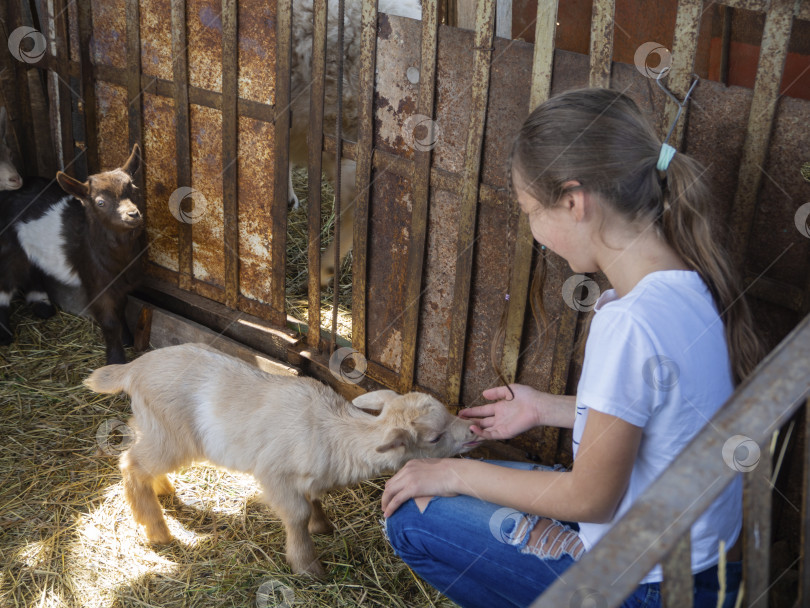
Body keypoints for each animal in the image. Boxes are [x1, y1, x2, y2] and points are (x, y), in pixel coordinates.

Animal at [83, 344, 480, 576]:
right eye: (434, 437)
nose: (475, 429)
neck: (334, 433)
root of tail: (132, 369)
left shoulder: (308, 476)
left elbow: (314, 499)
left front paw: (324, 526)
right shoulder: (273, 474)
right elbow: (297, 514)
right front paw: (308, 566)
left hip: (154, 425)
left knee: (137, 450)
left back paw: (164, 491)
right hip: (173, 437)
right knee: (130, 464)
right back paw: (158, 530)